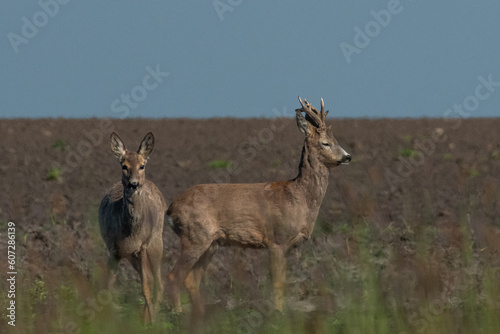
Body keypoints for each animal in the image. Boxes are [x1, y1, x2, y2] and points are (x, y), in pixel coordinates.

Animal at [98, 131, 167, 324]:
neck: (129, 231)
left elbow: (145, 287)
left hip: (156, 243)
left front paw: (150, 323)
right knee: (151, 278)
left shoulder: (142, 247)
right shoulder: (114, 249)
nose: (134, 184)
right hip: (130, 255)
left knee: (158, 282)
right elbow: (106, 286)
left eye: (142, 165)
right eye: (124, 166)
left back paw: (153, 319)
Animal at [166, 96, 350, 314]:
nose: (348, 156)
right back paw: (178, 313)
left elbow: (283, 281)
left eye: (336, 141)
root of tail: (170, 209)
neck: (299, 198)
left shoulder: (287, 246)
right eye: (326, 143)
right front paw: (278, 313)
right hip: (193, 237)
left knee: (191, 280)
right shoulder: (276, 240)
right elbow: (277, 282)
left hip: (210, 243)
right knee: (174, 276)